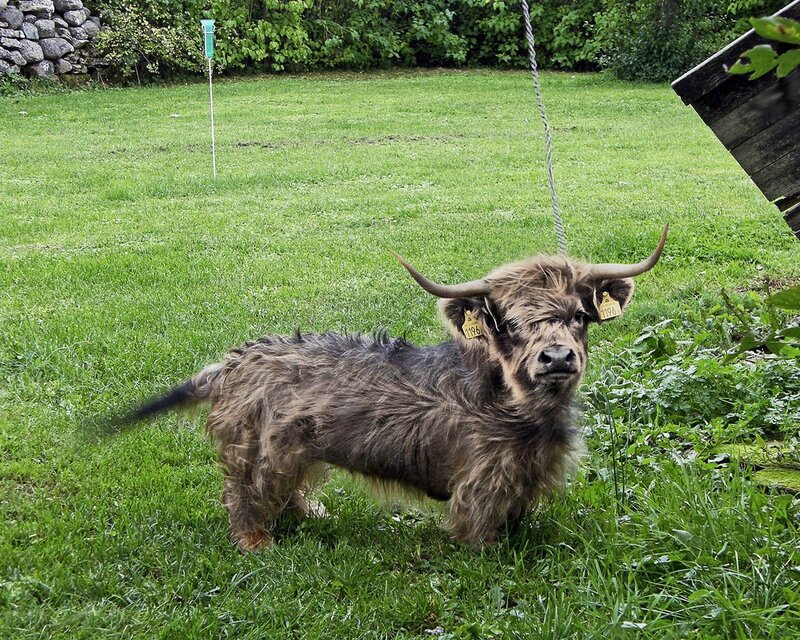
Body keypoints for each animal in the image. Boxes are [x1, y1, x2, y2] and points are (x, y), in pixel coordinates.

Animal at [121, 226, 667, 551]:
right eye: (509, 323)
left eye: (579, 316)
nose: (556, 358)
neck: (517, 406)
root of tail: (234, 361)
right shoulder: (481, 482)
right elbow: (481, 535)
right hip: (257, 448)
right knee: (243, 493)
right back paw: (257, 542)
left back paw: (308, 513)